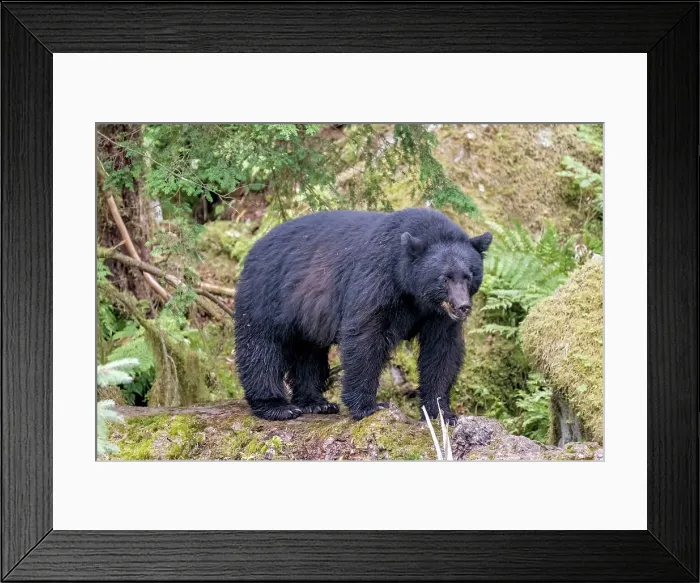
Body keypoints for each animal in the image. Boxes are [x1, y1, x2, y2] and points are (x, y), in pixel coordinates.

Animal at [233, 207, 492, 425]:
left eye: (468, 276)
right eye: (444, 277)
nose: (462, 306)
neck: (411, 290)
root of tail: (256, 244)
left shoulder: (438, 315)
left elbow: (442, 351)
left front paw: (442, 412)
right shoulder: (377, 277)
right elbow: (365, 335)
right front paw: (369, 406)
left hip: (307, 313)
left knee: (309, 352)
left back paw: (316, 403)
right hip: (268, 293)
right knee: (261, 347)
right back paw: (277, 406)